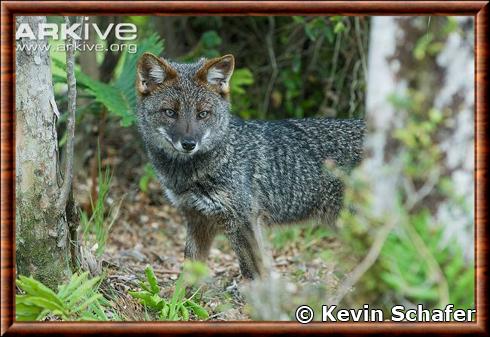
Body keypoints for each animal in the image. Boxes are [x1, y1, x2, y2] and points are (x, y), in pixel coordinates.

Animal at [134, 52, 364, 278]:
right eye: (170, 112)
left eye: (203, 114)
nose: (189, 144)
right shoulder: (197, 220)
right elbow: (188, 274)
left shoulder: (244, 221)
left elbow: (254, 274)